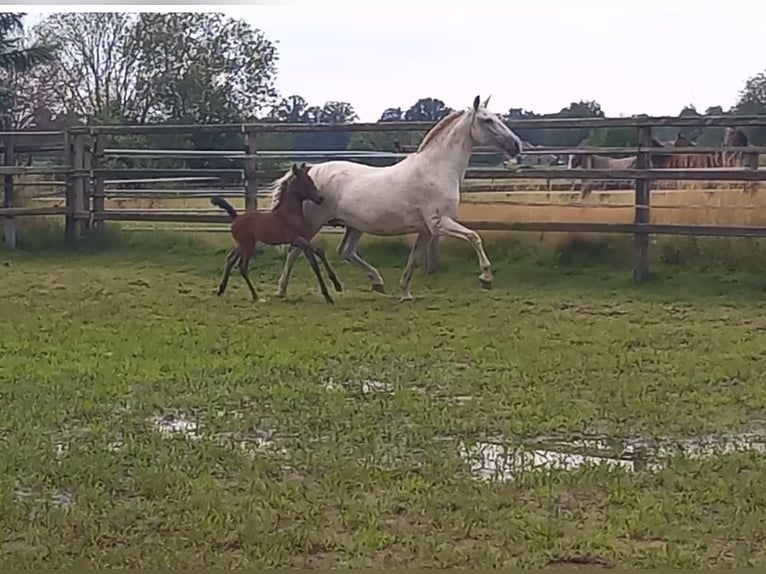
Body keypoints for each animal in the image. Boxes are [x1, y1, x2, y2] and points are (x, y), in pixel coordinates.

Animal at [268, 95, 524, 302]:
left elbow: (415, 259)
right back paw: (281, 291)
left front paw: (405, 293)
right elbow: (474, 237)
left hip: (354, 225)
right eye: (486, 120)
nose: (516, 145)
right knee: (295, 251)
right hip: (314, 223)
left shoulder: (426, 230)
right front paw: (486, 277)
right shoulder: (439, 224)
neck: (437, 170)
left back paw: (377, 282)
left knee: (346, 251)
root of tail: (311, 170)